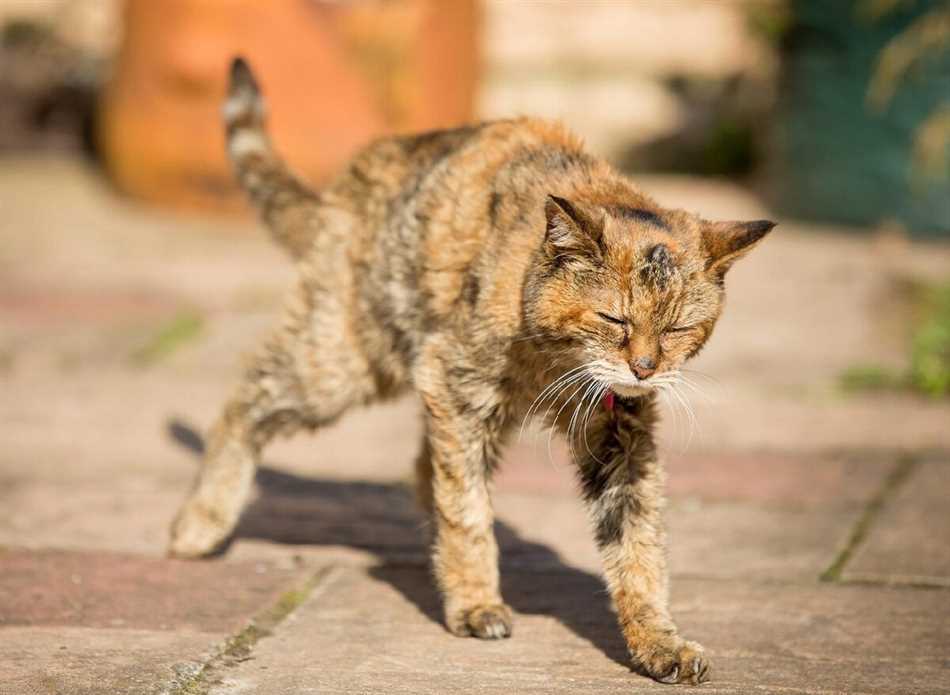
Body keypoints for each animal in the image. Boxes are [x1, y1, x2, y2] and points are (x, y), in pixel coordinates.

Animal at [171, 55, 776, 684]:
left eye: (678, 328)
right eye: (615, 317)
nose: (644, 369)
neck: (553, 360)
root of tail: (351, 179)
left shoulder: (621, 435)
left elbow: (639, 545)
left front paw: (658, 641)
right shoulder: (456, 386)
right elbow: (467, 509)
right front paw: (475, 602)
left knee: (421, 466)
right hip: (342, 363)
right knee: (245, 401)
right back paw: (202, 522)